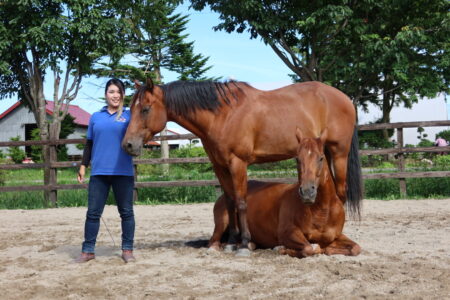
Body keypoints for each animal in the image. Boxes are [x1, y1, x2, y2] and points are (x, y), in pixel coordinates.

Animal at [209, 129, 360, 258]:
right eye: (297, 159)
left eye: (321, 158)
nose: (307, 192)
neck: (322, 210)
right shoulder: (287, 233)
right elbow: (309, 248)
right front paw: (281, 248)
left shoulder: (337, 236)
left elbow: (356, 248)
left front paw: (328, 249)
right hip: (222, 223)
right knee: (213, 241)